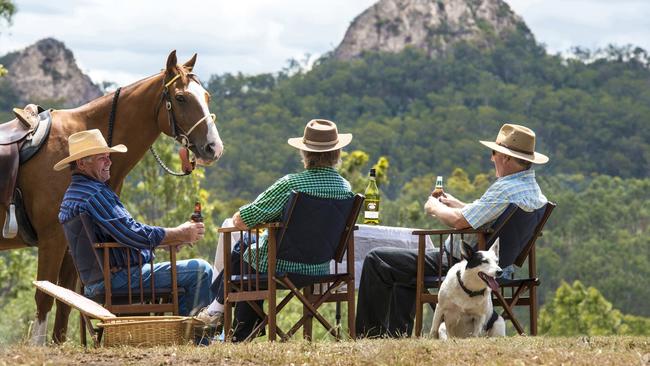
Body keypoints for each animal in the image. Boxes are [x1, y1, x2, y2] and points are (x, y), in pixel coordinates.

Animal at [0, 50, 223, 344]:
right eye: (181, 98)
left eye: (207, 96)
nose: (214, 147)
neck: (71, 145)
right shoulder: (52, 239)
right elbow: (44, 298)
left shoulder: (73, 244)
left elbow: (65, 302)